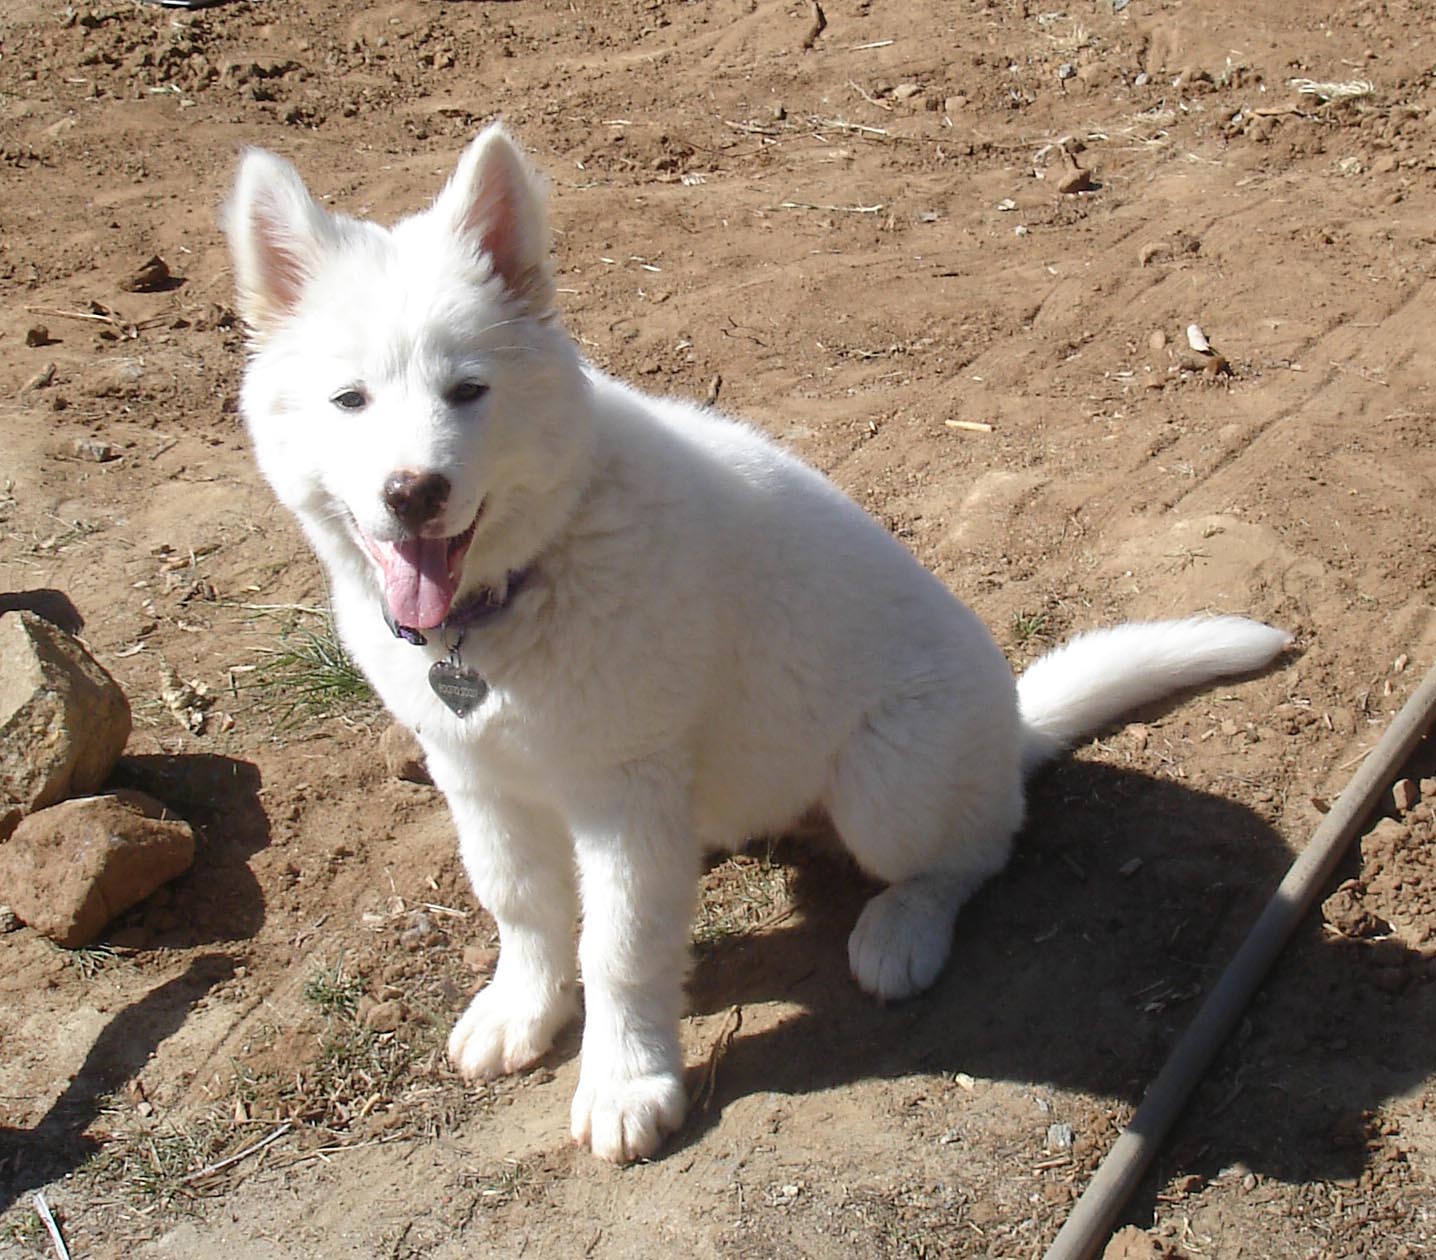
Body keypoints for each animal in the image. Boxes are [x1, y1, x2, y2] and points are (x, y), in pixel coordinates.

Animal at [224, 125, 1292, 1160]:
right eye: (350, 400)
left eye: (468, 391)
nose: (413, 494)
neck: (512, 592)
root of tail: (1014, 725)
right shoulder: (477, 773)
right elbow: (520, 902)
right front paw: (522, 1008)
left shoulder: (625, 786)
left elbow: (619, 947)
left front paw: (626, 1082)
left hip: (888, 783)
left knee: (982, 844)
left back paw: (904, 925)